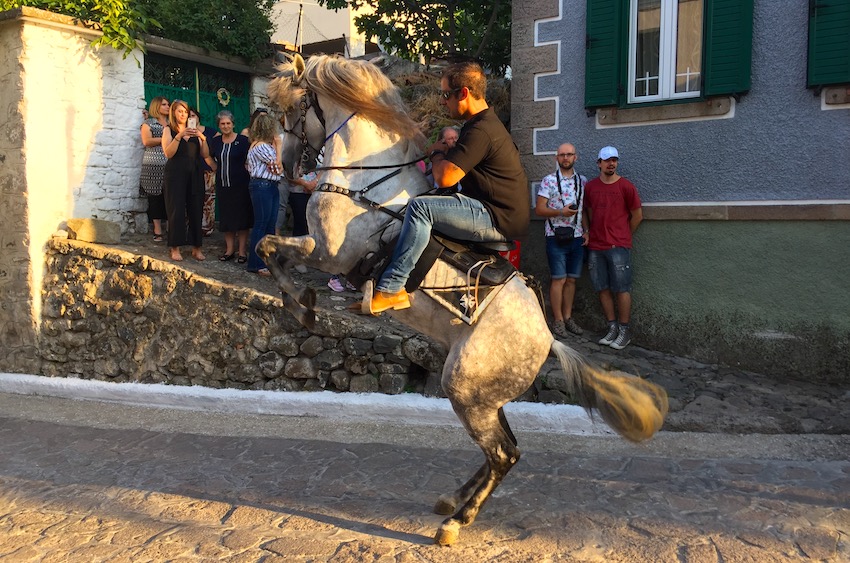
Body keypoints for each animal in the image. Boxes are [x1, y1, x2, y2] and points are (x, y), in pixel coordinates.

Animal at [258, 54, 668, 548]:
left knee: (504, 454)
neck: (370, 183)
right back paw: (454, 499)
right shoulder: (322, 251)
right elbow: (269, 247)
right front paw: (301, 303)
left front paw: (303, 304)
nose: (284, 165)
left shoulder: (329, 252)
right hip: (483, 395)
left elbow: (268, 247)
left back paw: (456, 521)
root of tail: (548, 339)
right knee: (507, 449)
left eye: (292, 107)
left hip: (465, 389)